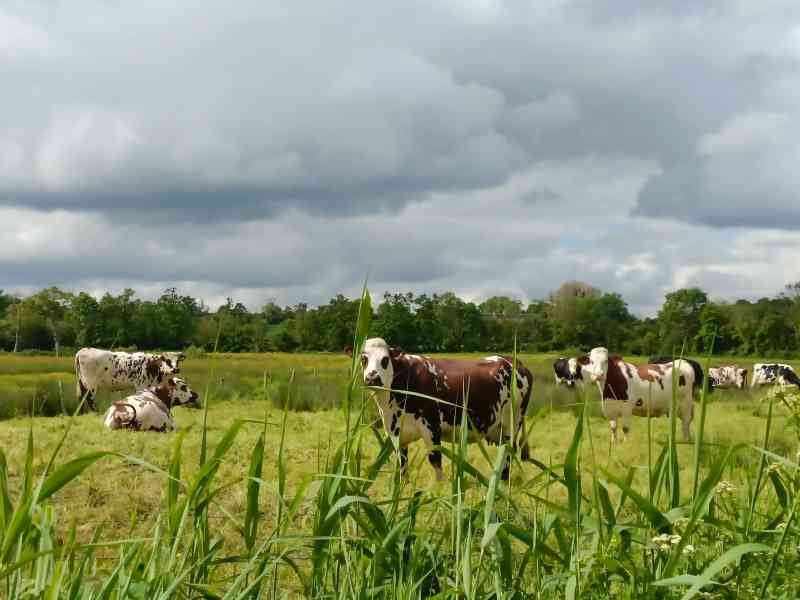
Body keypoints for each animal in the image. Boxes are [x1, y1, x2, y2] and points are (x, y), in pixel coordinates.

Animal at [347, 338, 533, 481]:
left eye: (385, 359)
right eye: (363, 359)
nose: (372, 378)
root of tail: (515, 361)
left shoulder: (432, 428)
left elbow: (435, 461)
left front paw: (439, 491)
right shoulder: (396, 434)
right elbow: (402, 465)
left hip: (512, 424)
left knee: (508, 454)